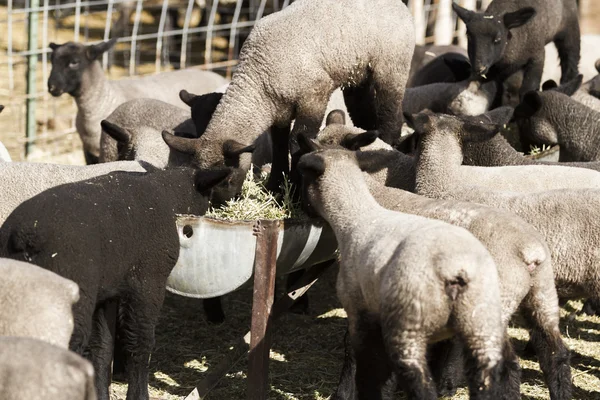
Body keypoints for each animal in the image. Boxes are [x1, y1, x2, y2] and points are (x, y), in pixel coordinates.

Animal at [0, 163, 244, 400]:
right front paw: (139, 395)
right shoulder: (148, 282)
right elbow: (140, 341)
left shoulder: (106, 292)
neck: (168, 196)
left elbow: (101, 348)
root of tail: (25, 234)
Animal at [164, 0, 418, 192]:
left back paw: (389, 144)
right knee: (362, 109)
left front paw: (294, 189)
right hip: (357, 72)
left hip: (391, 64)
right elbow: (278, 145)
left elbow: (297, 141)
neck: (258, 77)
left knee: (390, 113)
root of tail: (399, 4)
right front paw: (275, 186)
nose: (219, 203)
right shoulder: (279, 109)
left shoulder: (314, 97)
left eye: (227, 178)